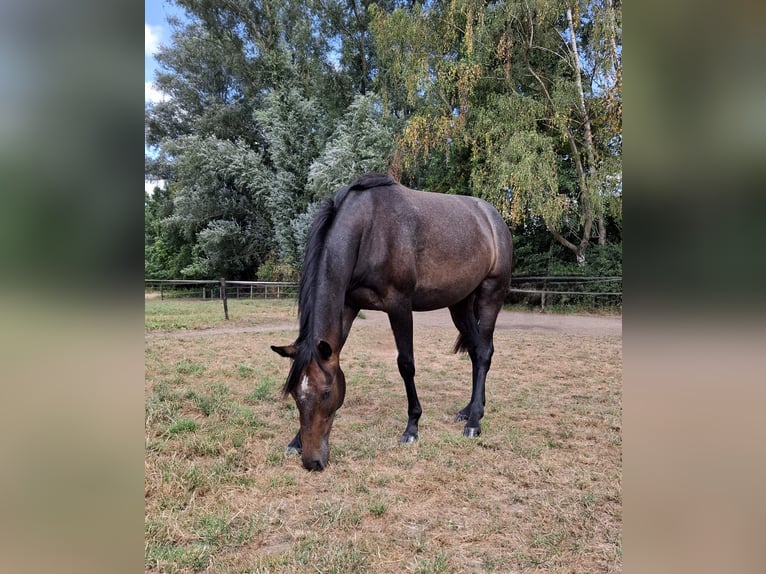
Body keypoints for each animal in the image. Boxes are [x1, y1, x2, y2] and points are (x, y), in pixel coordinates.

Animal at [271, 173, 512, 471]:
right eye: (295, 394)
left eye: (327, 393)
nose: (312, 462)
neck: (369, 229)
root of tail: (493, 218)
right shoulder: (349, 305)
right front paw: (295, 441)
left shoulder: (399, 306)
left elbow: (406, 364)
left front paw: (412, 427)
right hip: (460, 303)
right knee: (477, 352)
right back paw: (469, 410)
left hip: (491, 295)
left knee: (485, 352)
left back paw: (474, 422)